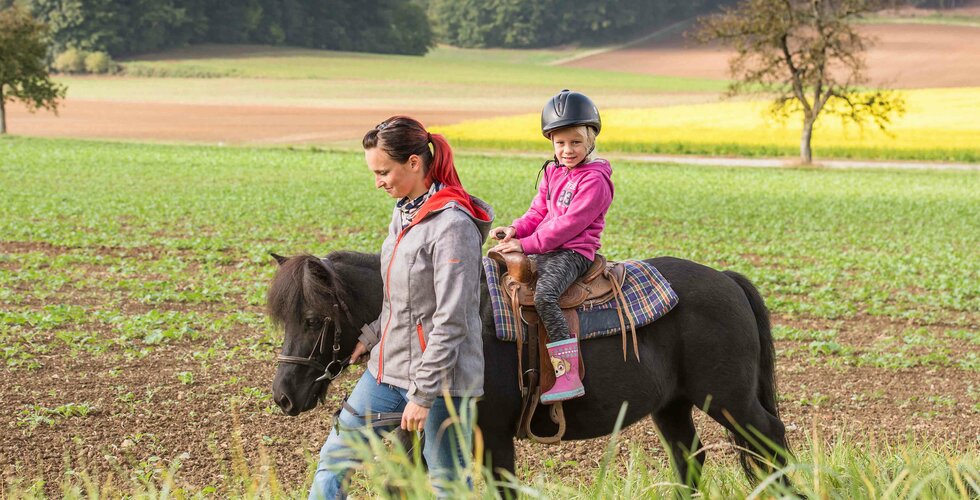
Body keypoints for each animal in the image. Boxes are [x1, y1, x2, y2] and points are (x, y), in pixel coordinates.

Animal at [268, 250, 788, 488]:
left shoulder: (493, 436)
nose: (284, 396)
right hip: (673, 407)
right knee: (690, 461)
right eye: (284, 319)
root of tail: (728, 280)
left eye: (312, 319)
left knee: (772, 440)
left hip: (731, 402)